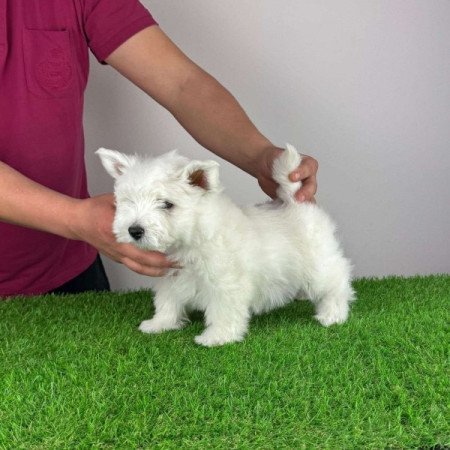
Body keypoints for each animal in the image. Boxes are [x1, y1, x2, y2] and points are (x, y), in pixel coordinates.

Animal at [97, 146, 356, 346]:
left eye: (167, 204)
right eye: (128, 201)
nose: (134, 230)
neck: (192, 238)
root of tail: (295, 202)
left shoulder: (226, 284)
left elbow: (224, 312)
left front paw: (216, 337)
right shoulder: (171, 279)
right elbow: (167, 302)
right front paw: (159, 324)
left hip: (319, 265)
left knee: (337, 283)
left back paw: (332, 314)